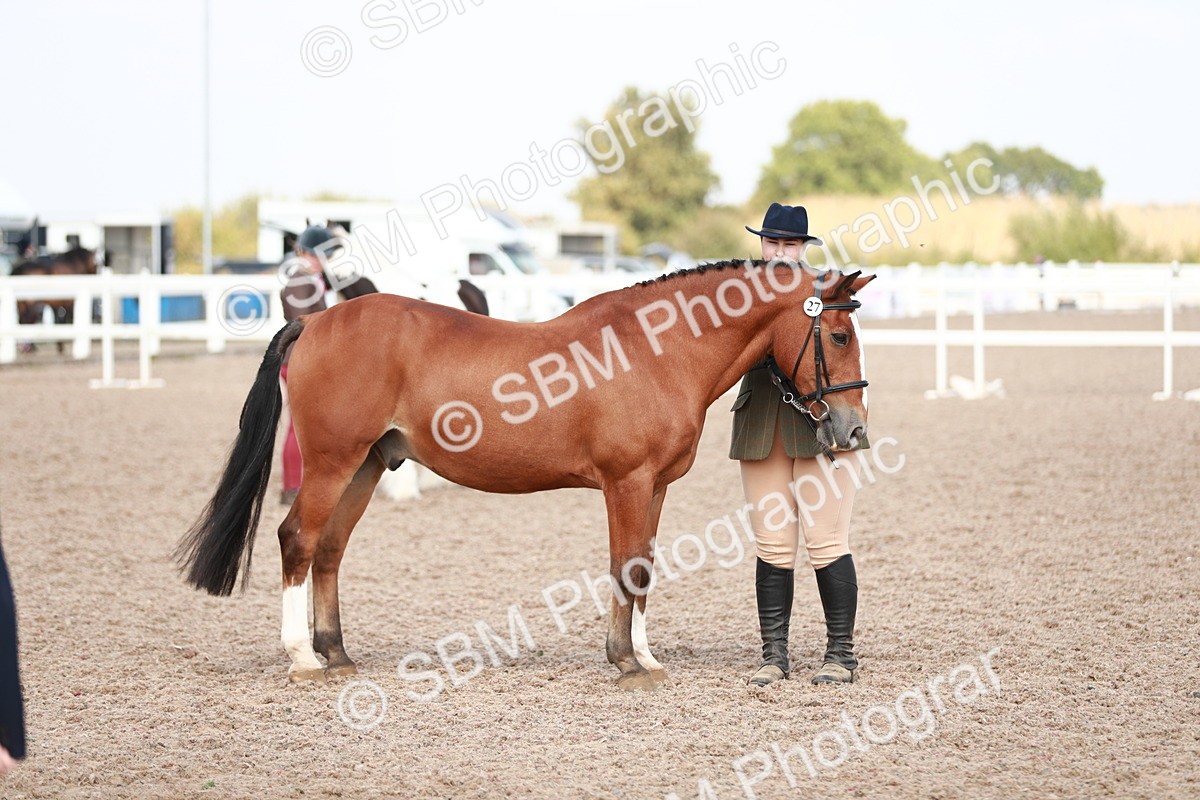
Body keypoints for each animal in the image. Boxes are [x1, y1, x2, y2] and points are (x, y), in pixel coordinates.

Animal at [175, 260, 874, 689]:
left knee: (329, 550)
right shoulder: (627, 483)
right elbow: (626, 566)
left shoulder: (654, 487)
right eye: (839, 335)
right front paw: (625, 662)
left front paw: (646, 657)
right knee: (297, 540)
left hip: (367, 466)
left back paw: (337, 653)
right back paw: (303, 659)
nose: (852, 430)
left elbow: (644, 568)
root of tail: (317, 319)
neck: (656, 350)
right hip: (331, 463)